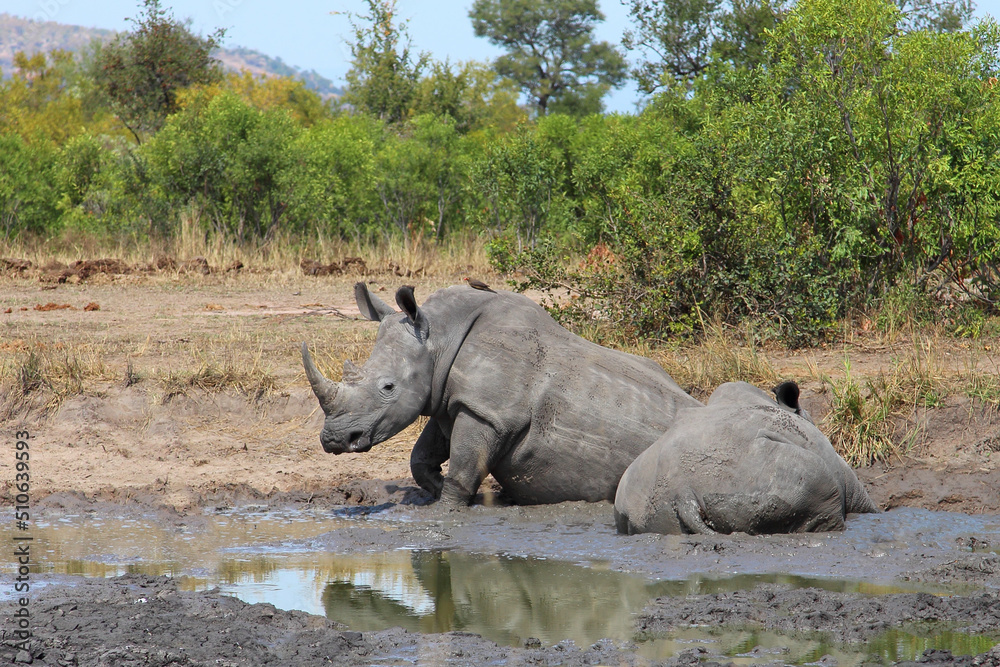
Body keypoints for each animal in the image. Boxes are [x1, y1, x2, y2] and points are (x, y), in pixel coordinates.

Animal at [302, 283, 702, 506]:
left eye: (388, 387)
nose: (334, 439)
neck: (439, 337)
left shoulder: (489, 412)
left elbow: (462, 470)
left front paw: (450, 508)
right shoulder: (450, 401)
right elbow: (422, 456)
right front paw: (438, 489)